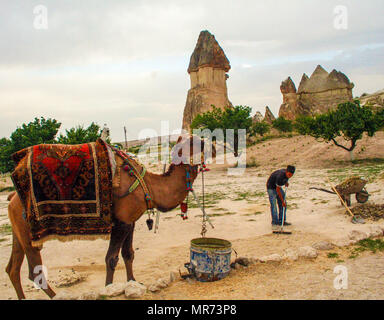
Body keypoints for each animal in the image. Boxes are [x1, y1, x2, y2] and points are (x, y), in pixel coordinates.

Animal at [6, 134, 212, 298]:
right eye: (197, 142)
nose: (212, 144)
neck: (148, 186)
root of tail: (12, 198)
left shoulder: (130, 221)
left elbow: (128, 254)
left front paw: (133, 282)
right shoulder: (121, 223)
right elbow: (111, 258)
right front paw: (109, 289)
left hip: (18, 231)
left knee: (12, 269)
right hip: (30, 234)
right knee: (34, 272)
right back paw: (55, 295)